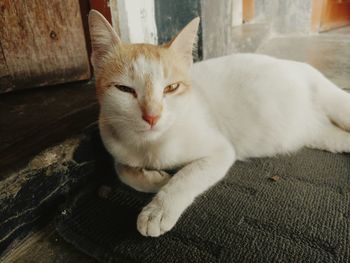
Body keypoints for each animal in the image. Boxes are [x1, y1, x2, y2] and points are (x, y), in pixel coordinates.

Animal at [88, 9, 350, 237]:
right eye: (124, 89)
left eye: (171, 88)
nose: (152, 116)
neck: (149, 146)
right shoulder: (114, 143)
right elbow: (122, 169)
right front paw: (156, 180)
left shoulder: (221, 151)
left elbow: (187, 175)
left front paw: (158, 209)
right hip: (322, 135)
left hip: (333, 100)